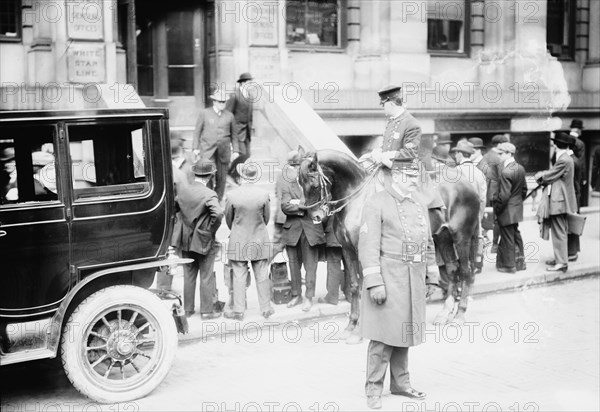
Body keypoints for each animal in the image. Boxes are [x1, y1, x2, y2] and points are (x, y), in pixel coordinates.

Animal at [300, 148, 482, 338]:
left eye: (313, 184)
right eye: (300, 183)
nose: (316, 216)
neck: (357, 198)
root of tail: (468, 184)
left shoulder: (364, 250)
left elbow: (366, 285)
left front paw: (360, 330)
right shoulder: (347, 249)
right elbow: (355, 285)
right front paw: (351, 325)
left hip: (461, 237)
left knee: (466, 272)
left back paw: (460, 314)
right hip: (443, 237)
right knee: (453, 269)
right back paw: (444, 313)